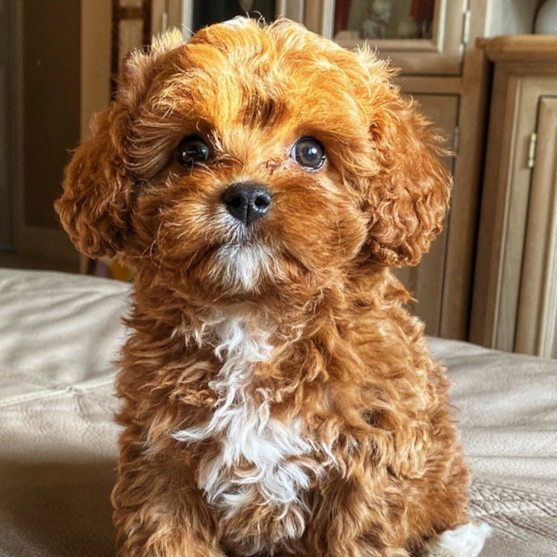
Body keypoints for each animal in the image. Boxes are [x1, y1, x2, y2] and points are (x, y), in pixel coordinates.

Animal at [54, 17, 488, 556]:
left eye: (311, 151)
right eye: (191, 151)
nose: (245, 196)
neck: (252, 314)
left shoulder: (367, 463)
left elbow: (356, 535)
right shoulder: (162, 457)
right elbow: (169, 533)